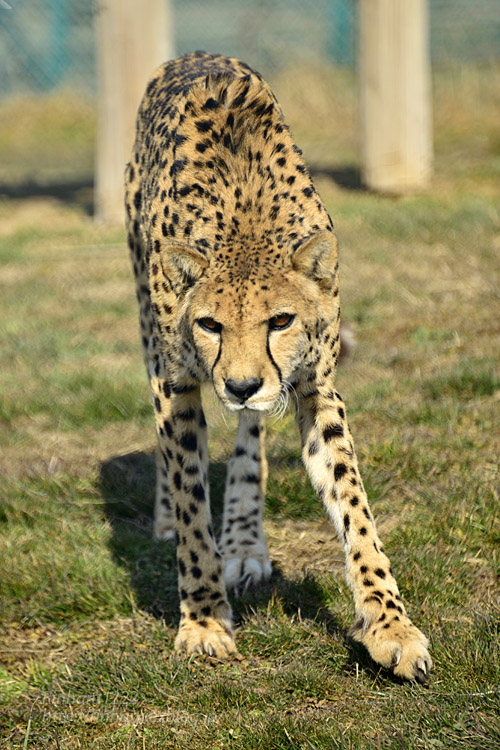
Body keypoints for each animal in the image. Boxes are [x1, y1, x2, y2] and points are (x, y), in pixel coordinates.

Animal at [124, 53, 430, 684]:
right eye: (210, 324)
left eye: (281, 320)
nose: (241, 384)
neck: (243, 221)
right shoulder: (177, 383)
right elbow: (191, 502)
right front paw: (204, 620)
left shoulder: (316, 388)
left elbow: (355, 507)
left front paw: (390, 626)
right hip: (145, 320)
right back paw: (173, 521)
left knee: (250, 438)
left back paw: (245, 540)